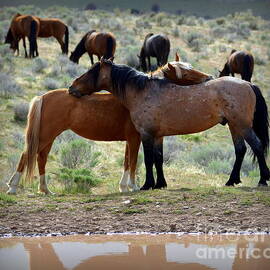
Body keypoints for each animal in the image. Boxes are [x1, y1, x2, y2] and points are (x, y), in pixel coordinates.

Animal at [6, 57, 213, 196]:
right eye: (186, 72)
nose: (209, 77)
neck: (135, 95)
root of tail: (43, 97)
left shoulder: (135, 139)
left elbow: (128, 161)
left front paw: (124, 186)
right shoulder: (135, 138)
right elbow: (134, 162)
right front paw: (133, 186)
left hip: (48, 137)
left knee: (41, 159)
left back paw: (45, 190)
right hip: (44, 136)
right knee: (27, 155)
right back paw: (13, 187)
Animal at [68, 58, 268, 190]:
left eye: (91, 71)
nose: (71, 88)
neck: (143, 91)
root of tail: (248, 84)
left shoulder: (146, 134)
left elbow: (148, 160)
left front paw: (147, 185)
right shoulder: (158, 136)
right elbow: (159, 159)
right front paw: (160, 184)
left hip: (242, 126)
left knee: (257, 146)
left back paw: (263, 180)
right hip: (234, 126)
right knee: (240, 150)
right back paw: (231, 181)